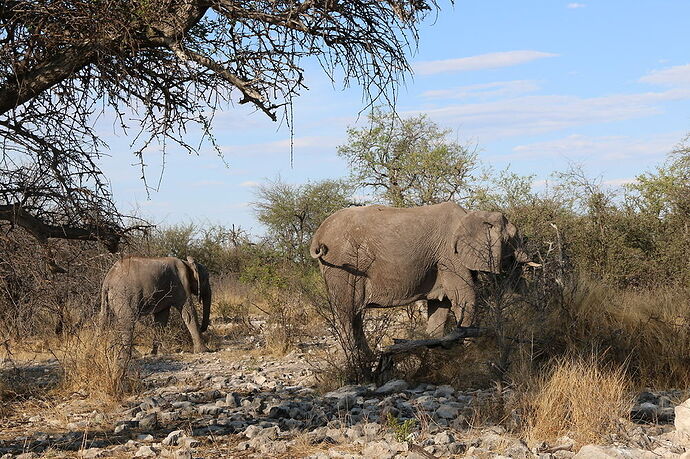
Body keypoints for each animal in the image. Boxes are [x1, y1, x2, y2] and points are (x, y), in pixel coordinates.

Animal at [310, 203, 532, 368]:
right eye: (512, 237)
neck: (472, 215)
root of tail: (318, 235)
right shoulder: (450, 256)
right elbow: (465, 297)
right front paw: (470, 351)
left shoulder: (441, 261)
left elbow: (441, 305)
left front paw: (435, 352)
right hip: (343, 267)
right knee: (347, 312)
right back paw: (356, 362)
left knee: (353, 315)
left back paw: (369, 358)